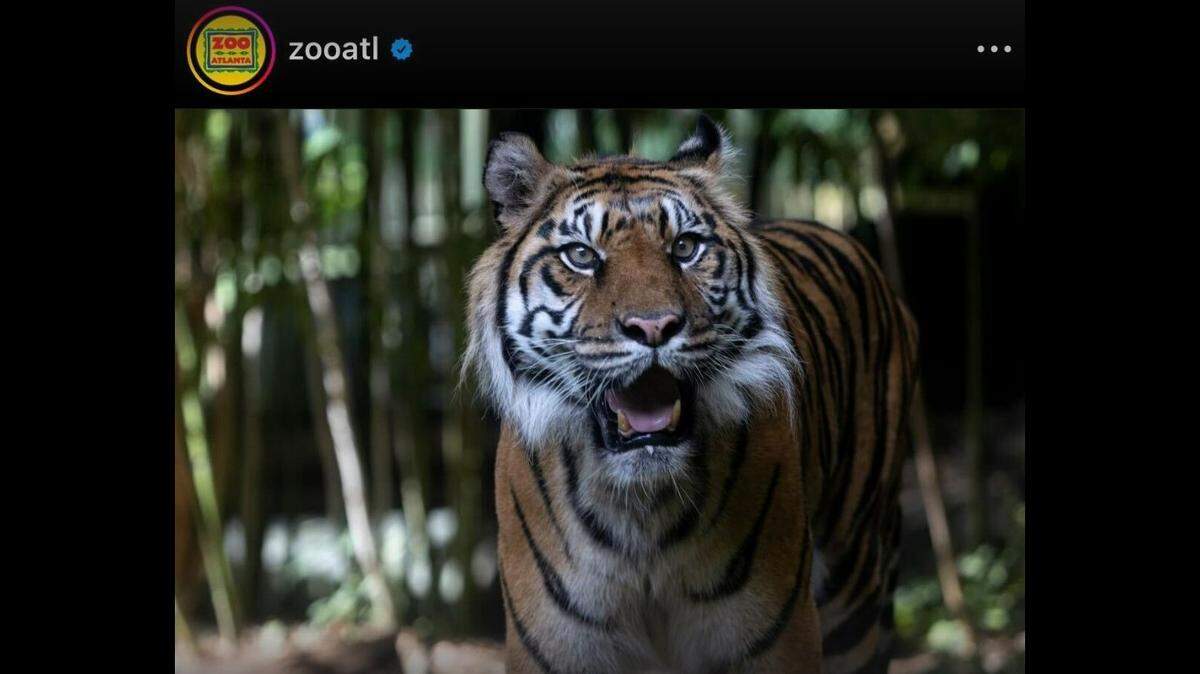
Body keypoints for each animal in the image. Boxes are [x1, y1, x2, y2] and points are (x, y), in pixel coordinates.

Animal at [464, 115, 919, 674]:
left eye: (684, 248)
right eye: (582, 256)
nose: (653, 326)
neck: (641, 514)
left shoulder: (776, 640)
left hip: (857, 589)